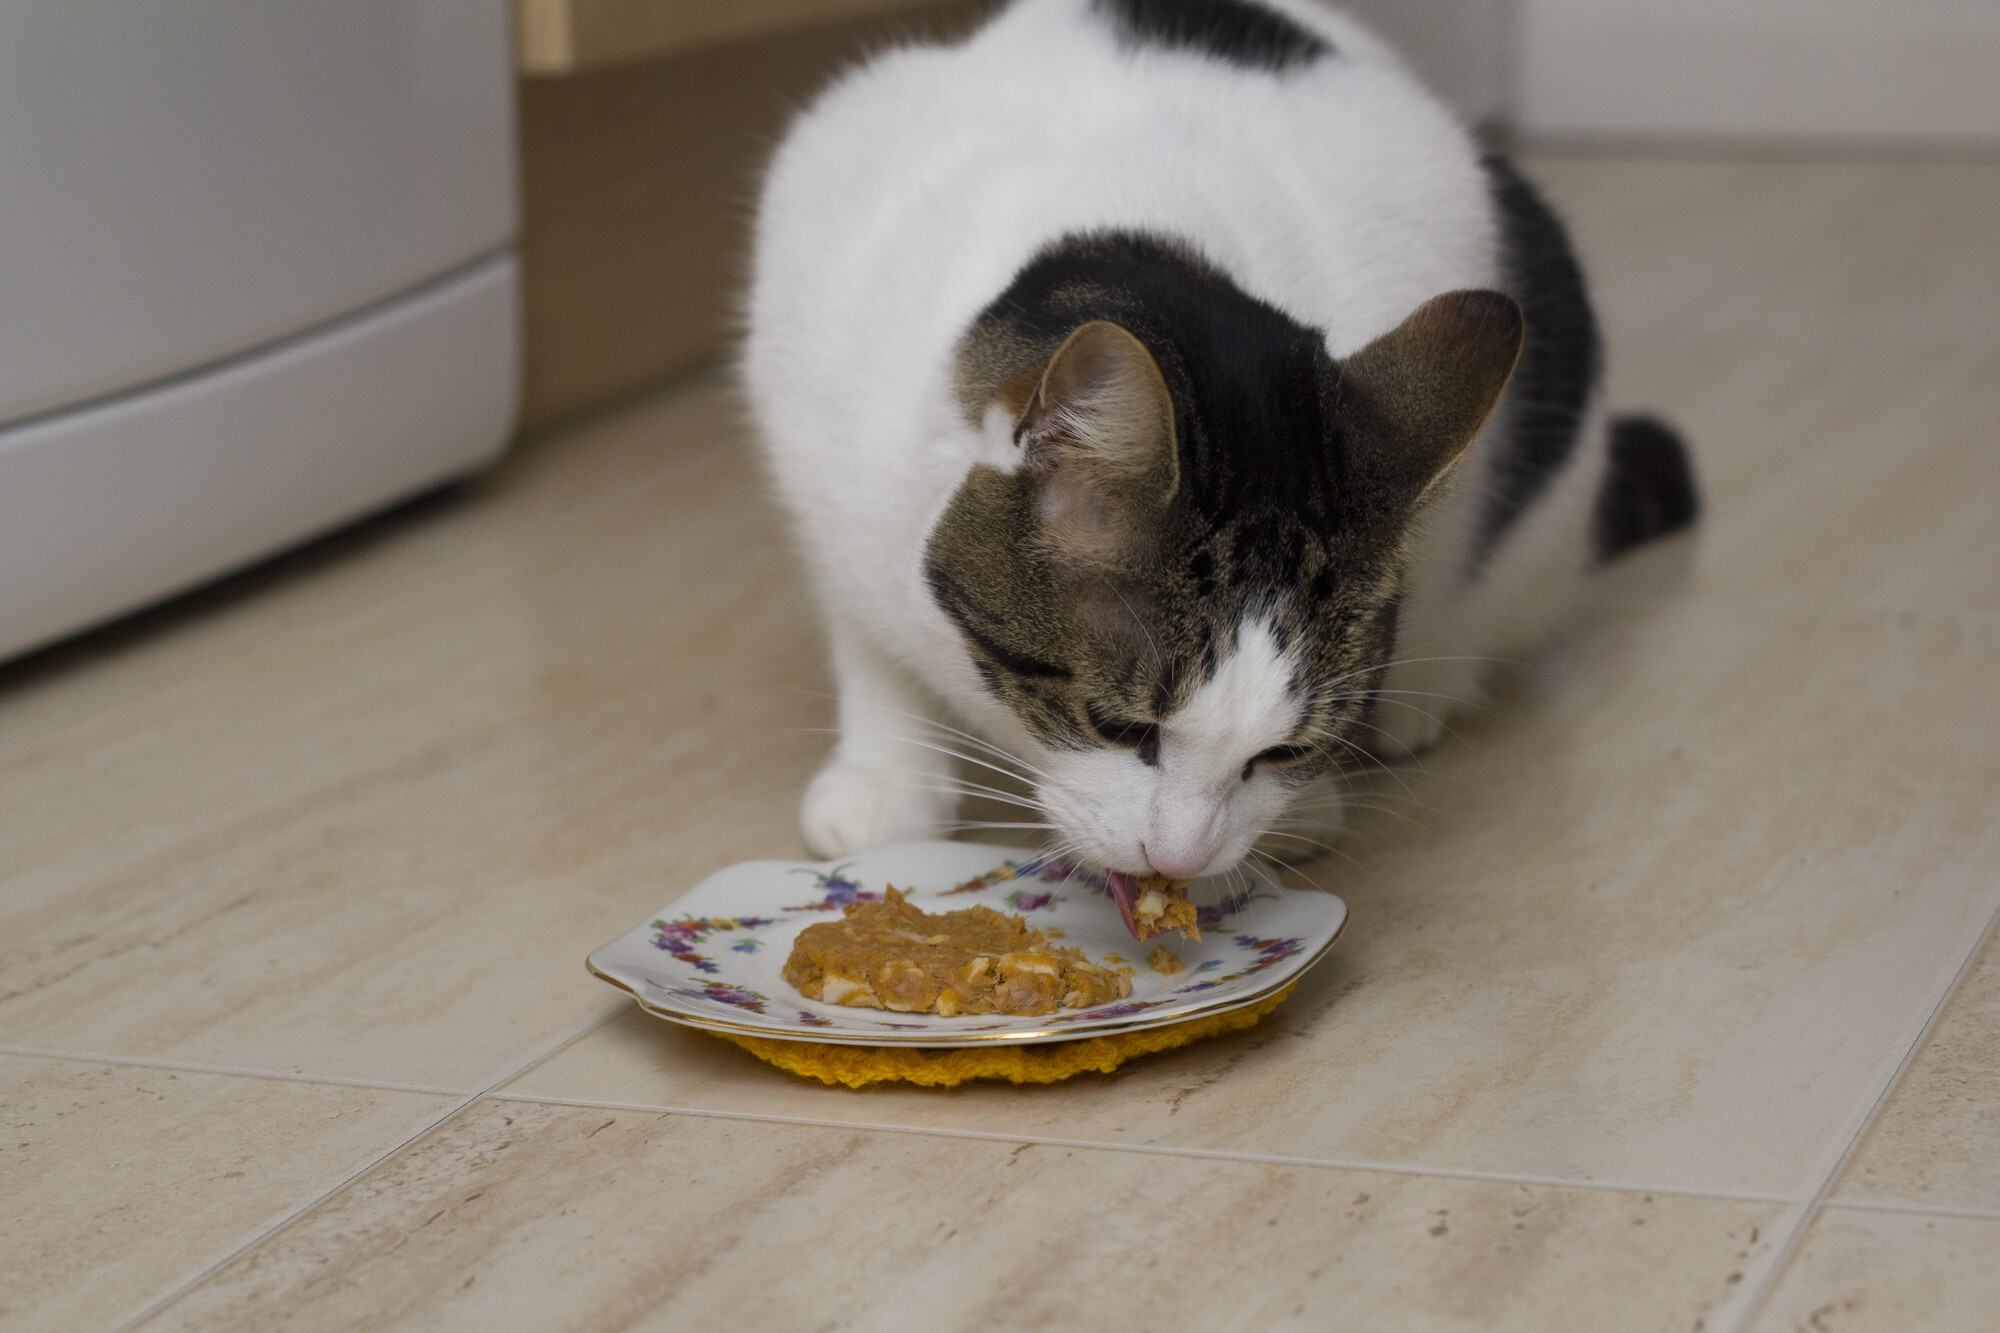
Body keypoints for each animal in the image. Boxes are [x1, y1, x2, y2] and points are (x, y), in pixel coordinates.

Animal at [744, 0, 1696, 920]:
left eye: (1281, 749)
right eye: (1118, 726)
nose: (1180, 858)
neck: (1136, 226)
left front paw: (1295, 814)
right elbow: (865, 635)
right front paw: (887, 776)